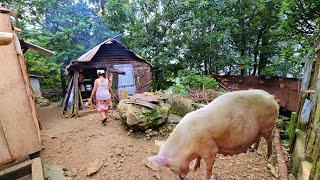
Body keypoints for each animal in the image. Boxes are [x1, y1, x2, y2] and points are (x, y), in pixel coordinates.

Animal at [149, 89, 278, 179]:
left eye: (171, 169)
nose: (182, 178)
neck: (187, 145)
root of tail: (272, 98)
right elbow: (198, 159)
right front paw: (195, 168)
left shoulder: (210, 149)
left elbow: (209, 166)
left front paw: (204, 177)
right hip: (260, 129)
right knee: (259, 138)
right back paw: (253, 149)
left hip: (268, 125)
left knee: (269, 140)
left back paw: (267, 156)